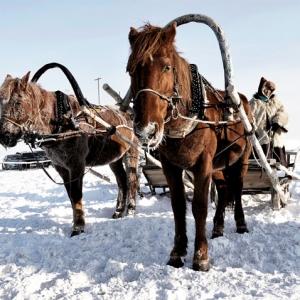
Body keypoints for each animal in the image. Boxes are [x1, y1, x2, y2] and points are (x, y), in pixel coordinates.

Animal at [0, 71, 139, 237]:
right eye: (1, 103)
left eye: (18, 102)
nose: (5, 137)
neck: (63, 122)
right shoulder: (61, 167)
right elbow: (70, 196)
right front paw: (76, 223)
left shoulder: (76, 164)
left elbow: (76, 194)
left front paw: (78, 228)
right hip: (114, 158)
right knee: (121, 180)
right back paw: (118, 211)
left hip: (132, 152)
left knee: (131, 179)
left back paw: (130, 210)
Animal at [127, 22, 253, 272]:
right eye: (131, 70)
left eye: (167, 67)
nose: (146, 129)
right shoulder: (171, 167)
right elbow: (178, 207)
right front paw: (177, 252)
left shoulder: (202, 165)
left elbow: (200, 207)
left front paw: (201, 255)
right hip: (218, 164)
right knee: (224, 189)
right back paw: (218, 226)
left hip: (241, 158)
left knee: (237, 188)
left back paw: (241, 223)